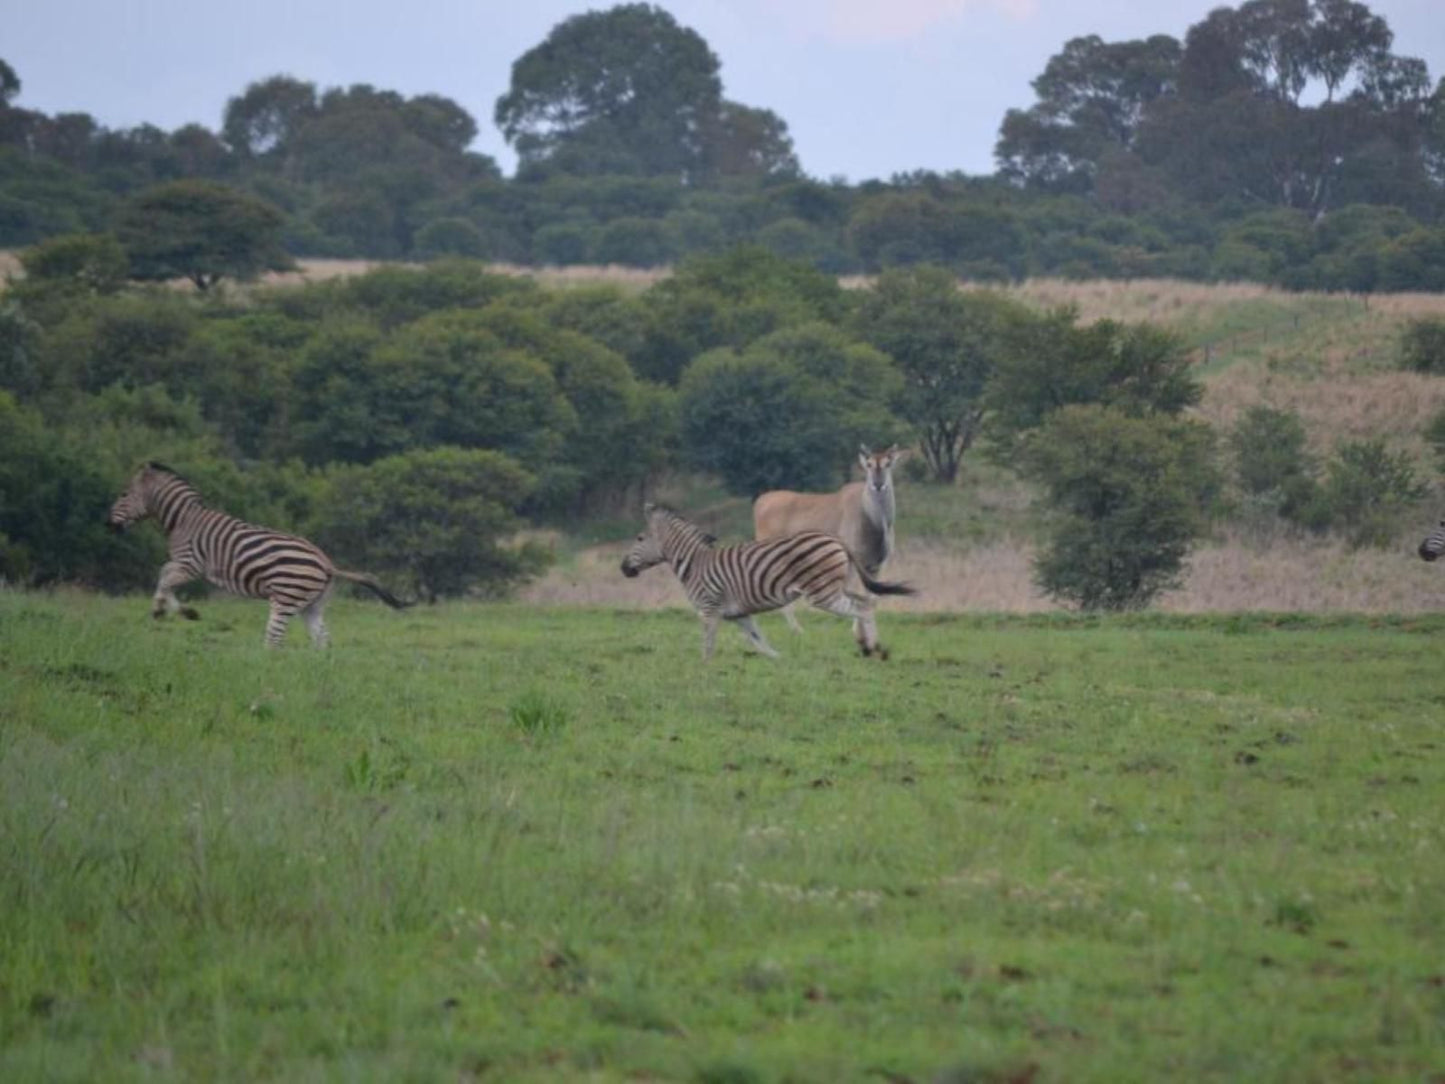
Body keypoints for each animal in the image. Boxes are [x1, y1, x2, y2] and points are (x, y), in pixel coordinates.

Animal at [105, 462, 407, 650]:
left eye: (124, 494)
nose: (108, 525)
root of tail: (327, 564)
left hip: (286, 597)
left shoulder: (191, 563)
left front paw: (171, 610)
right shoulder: (186, 564)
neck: (182, 520)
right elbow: (164, 575)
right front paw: (171, 609)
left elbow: (165, 576)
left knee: (274, 640)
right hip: (312, 604)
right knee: (322, 640)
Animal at [621, 502, 913, 661]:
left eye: (639, 538)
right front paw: (779, 660)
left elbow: (708, 645)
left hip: (822, 593)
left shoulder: (708, 609)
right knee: (867, 601)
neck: (694, 563)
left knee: (860, 608)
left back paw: (872, 648)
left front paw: (705, 669)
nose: (623, 568)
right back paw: (870, 646)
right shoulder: (738, 614)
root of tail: (837, 539)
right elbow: (758, 641)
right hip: (833, 586)